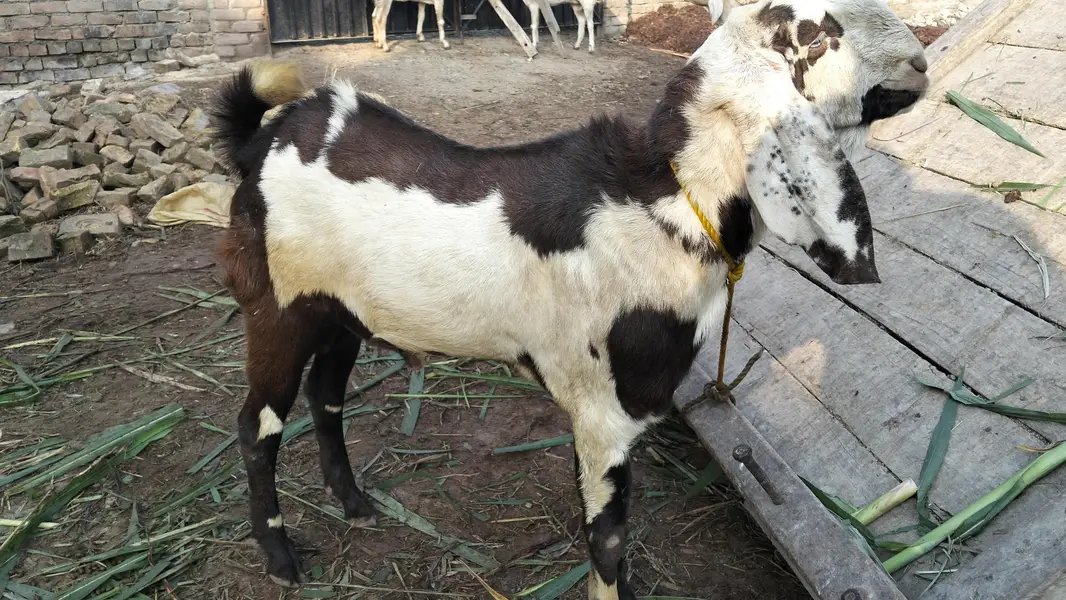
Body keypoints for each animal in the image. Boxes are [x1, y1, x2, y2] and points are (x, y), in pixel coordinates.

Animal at [209, 1, 928, 597]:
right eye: (816, 35)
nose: (921, 61)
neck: (665, 204)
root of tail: (264, 139)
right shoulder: (603, 414)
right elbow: (607, 541)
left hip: (339, 313)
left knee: (325, 399)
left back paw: (356, 504)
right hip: (276, 310)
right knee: (257, 426)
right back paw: (281, 557)